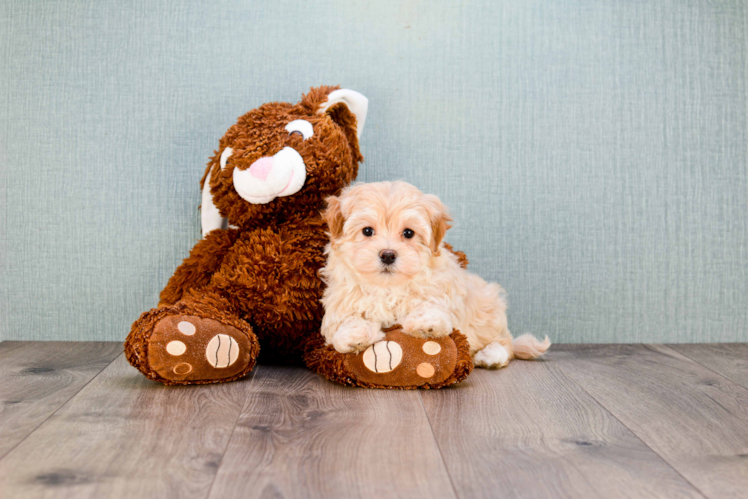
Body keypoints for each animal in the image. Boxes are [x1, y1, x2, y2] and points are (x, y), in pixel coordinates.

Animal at [320, 180, 548, 368]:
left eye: (408, 233)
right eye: (367, 231)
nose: (388, 255)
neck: (388, 287)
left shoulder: (442, 291)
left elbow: (431, 305)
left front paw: (425, 323)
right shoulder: (341, 300)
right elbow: (346, 320)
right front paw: (355, 335)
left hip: (490, 307)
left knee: (505, 342)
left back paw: (491, 354)